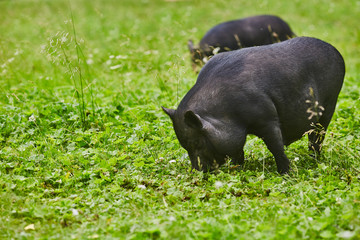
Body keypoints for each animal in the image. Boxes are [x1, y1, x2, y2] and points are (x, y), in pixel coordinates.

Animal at [162, 36, 344, 173]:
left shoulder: (267, 118)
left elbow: (275, 147)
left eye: (197, 143)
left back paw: (314, 160)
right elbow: (238, 151)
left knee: (317, 136)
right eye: (185, 146)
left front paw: (286, 173)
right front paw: (237, 169)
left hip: (330, 104)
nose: (196, 171)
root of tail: (336, 51)